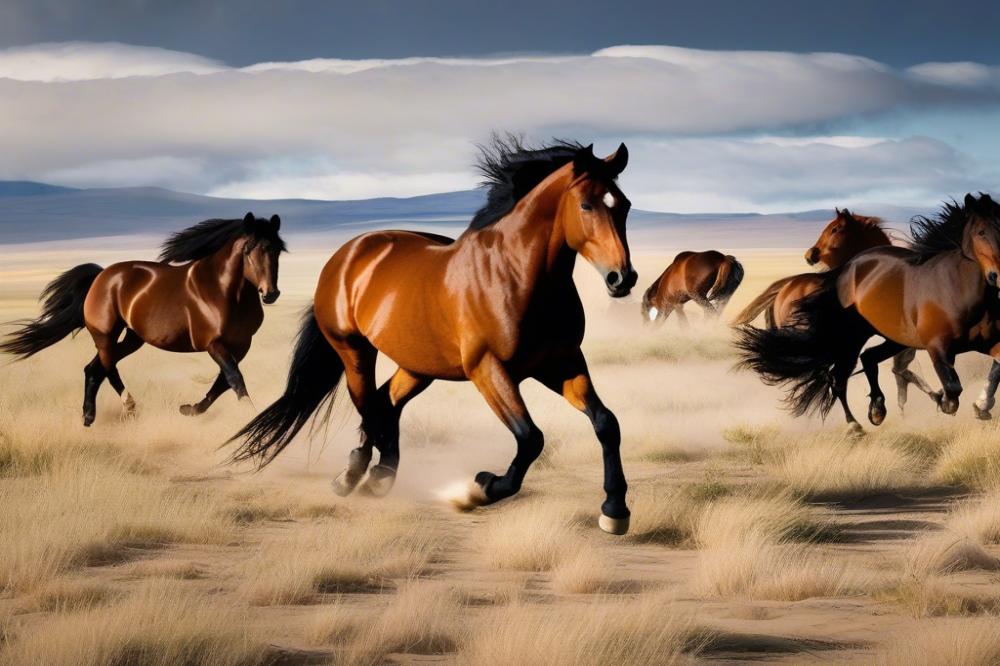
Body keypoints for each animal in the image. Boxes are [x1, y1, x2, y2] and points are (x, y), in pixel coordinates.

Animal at [1, 213, 284, 425]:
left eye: (277, 251)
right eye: (249, 250)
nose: (270, 293)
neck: (224, 292)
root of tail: (102, 275)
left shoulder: (242, 345)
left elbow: (223, 382)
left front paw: (189, 409)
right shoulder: (213, 344)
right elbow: (235, 379)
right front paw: (250, 414)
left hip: (133, 338)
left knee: (94, 368)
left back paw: (96, 414)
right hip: (106, 333)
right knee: (105, 368)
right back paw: (121, 408)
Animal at [230, 138, 637, 535]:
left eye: (625, 205)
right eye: (586, 205)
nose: (623, 278)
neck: (517, 276)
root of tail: (347, 253)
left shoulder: (561, 363)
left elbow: (607, 423)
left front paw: (615, 510)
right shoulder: (488, 369)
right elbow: (530, 438)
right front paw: (479, 489)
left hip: (418, 365)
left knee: (385, 402)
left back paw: (379, 474)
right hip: (355, 351)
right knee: (368, 402)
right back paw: (354, 474)